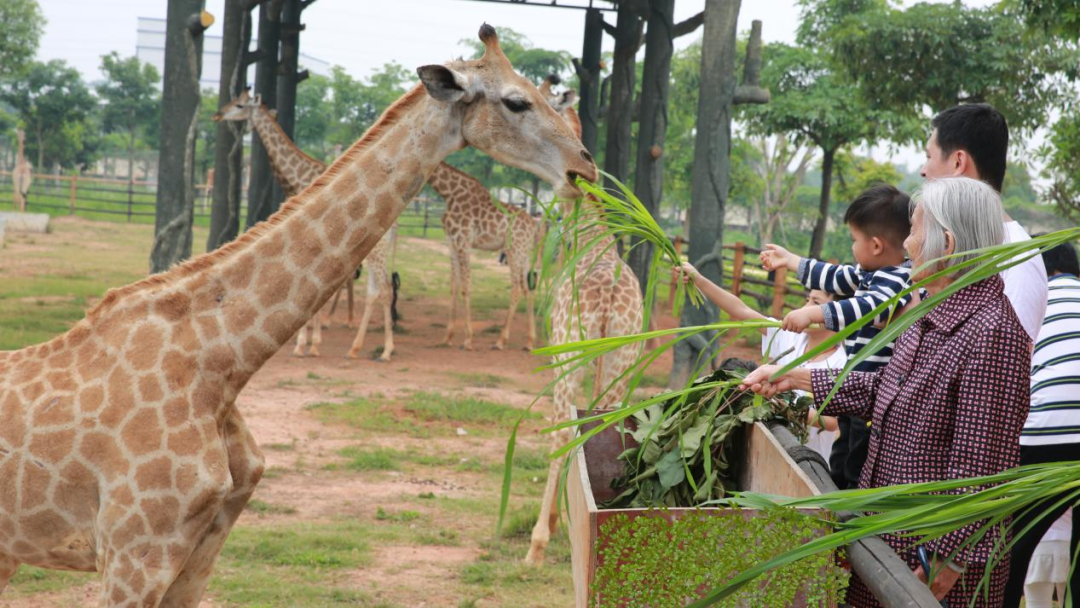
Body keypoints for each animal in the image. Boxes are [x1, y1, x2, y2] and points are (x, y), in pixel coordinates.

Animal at [425, 163, 544, 352]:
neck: (449, 193)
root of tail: (534, 225)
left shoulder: (464, 243)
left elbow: (465, 288)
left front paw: (468, 340)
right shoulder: (451, 244)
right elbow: (453, 288)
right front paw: (447, 337)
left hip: (513, 250)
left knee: (516, 288)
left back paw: (501, 341)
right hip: (524, 253)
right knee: (528, 289)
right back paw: (529, 342)